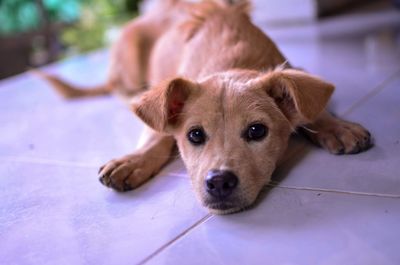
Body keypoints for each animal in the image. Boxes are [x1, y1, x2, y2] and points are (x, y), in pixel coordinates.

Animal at [37, 0, 372, 213]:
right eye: (195, 135)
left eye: (257, 131)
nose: (220, 182)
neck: (231, 59)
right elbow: (158, 132)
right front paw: (133, 160)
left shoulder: (294, 69)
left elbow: (312, 109)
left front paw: (337, 127)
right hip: (129, 65)